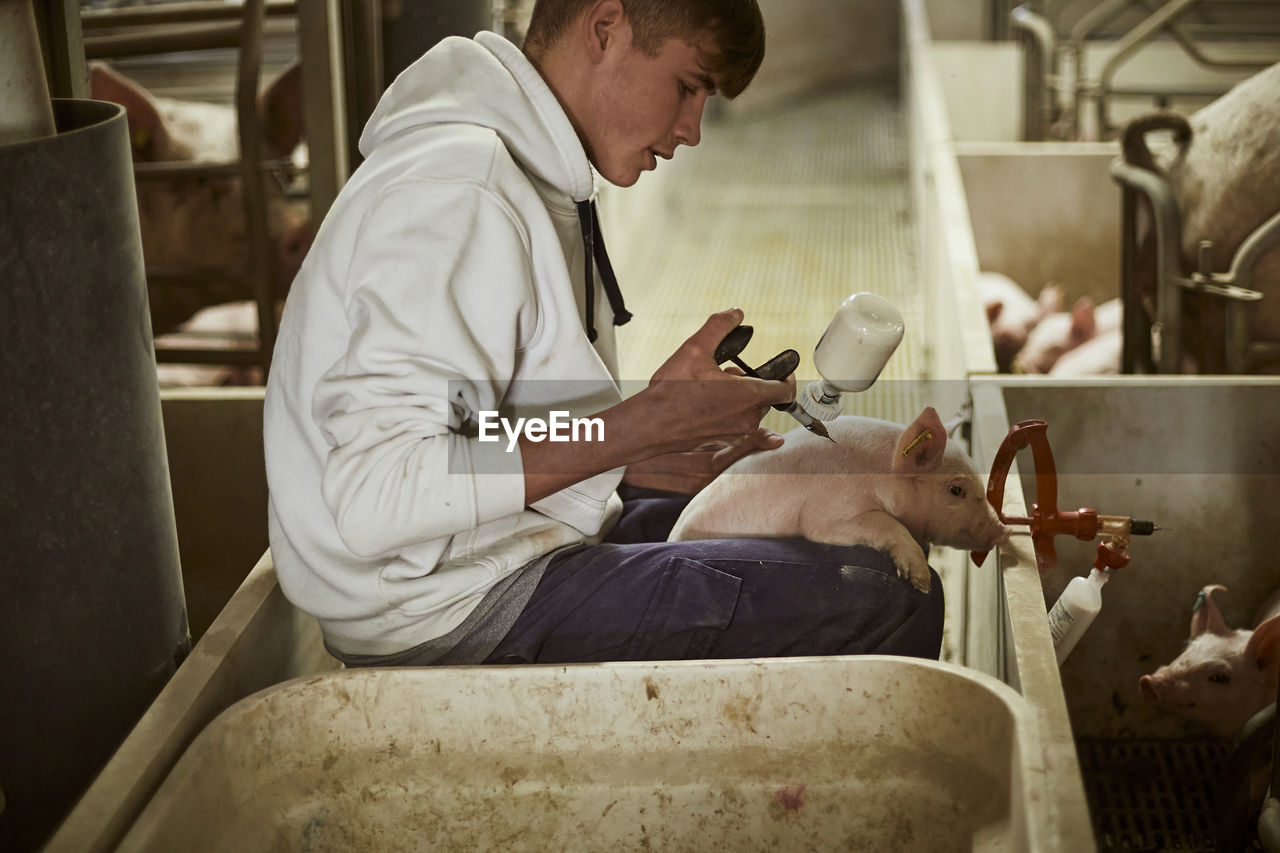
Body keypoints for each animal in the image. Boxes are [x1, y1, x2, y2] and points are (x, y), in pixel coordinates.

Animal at [670, 404, 1008, 591]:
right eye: (955, 490)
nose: (1001, 530)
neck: (880, 474)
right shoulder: (828, 514)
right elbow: (885, 525)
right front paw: (921, 582)